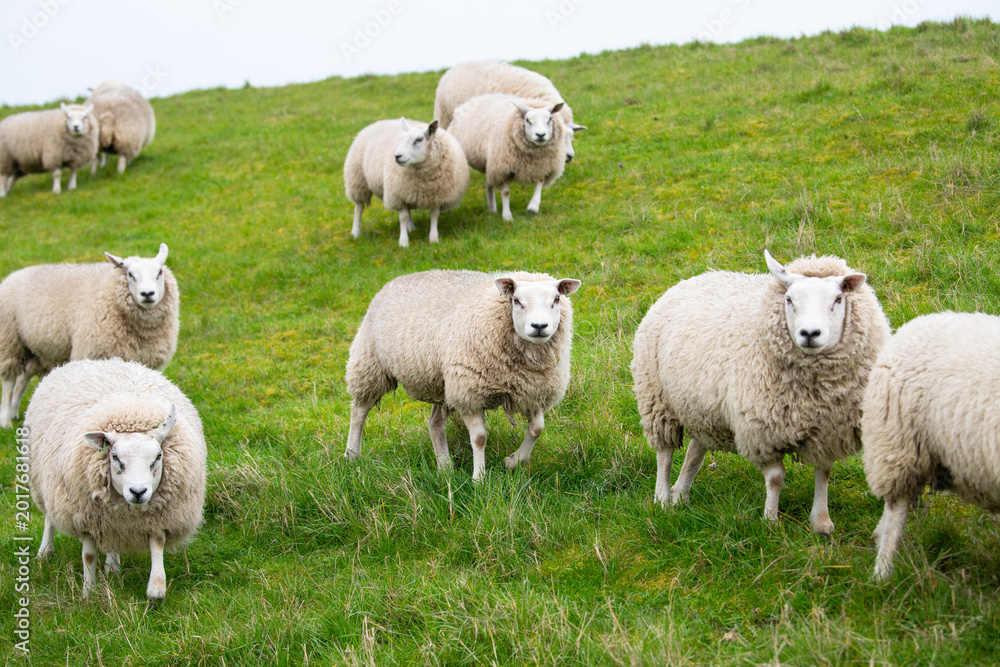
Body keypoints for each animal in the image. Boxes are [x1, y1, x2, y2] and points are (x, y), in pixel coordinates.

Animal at [0, 243, 178, 429]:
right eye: (130, 274)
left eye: (159, 273)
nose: (147, 294)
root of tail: (14, 274)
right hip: (10, 340)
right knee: (9, 381)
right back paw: (5, 420)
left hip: (36, 349)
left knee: (23, 377)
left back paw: (15, 413)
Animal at [26, 358, 206, 601]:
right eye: (115, 457)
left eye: (158, 456)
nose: (138, 492)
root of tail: (97, 360)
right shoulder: (85, 517)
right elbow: (89, 555)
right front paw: (89, 592)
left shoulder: (160, 515)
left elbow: (157, 543)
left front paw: (156, 590)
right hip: (43, 482)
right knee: (49, 518)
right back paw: (45, 551)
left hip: (111, 519)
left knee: (113, 538)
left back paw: (112, 565)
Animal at [344, 117, 469, 247]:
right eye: (401, 139)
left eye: (419, 140)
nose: (397, 156)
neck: (424, 181)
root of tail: (377, 122)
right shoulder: (398, 196)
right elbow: (402, 217)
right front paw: (403, 242)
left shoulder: (437, 196)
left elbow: (434, 215)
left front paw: (434, 238)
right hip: (358, 181)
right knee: (358, 207)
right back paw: (355, 232)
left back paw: (411, 227)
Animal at [345, 269, 582, 480]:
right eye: (516, 300)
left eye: (557, 299)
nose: (539, 326)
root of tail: (397, 279)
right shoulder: (469, 392)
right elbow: (479, 438)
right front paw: (479, 479)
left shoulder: (536, 392)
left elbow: (537, 429)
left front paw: (513, 461)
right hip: (369, 364)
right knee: (359, 411)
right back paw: (352, 455)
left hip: (442, 382)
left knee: (435, 423)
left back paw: (445, 466)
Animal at [631, 250, 890, 534]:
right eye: (789, 299)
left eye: (838, 299)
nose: (810, 333)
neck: (814, 394)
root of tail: (693, 278)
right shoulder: (761, 430)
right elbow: (776, 479)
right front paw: (770, 521)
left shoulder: (827, 431)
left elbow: (823, 472)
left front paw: (821, 521)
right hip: (657, 400)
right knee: (665, 454)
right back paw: (663, 498)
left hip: (703, 409)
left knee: (695, 450)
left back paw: (681, 494)